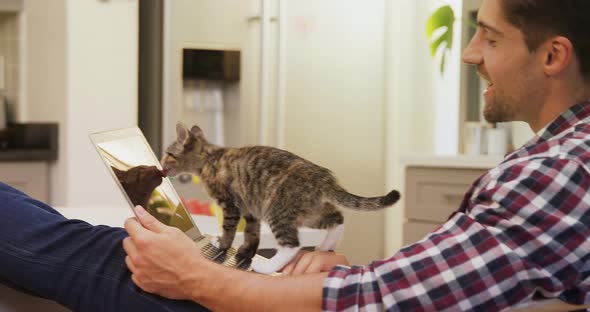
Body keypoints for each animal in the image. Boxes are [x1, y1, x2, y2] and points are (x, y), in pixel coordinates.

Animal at [162, 123, 402, 274]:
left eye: (169, 154)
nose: (162, 164)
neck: (209, 157)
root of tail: (324, 178)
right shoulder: (250, 209)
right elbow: (252, 233)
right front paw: (246, 251)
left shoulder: (230, 204)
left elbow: (229, 229)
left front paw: (222, 244)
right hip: (309, 211)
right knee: (338, 218)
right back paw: (325, 246)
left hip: (278, 209)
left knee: (292, 243)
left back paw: (267, 267)